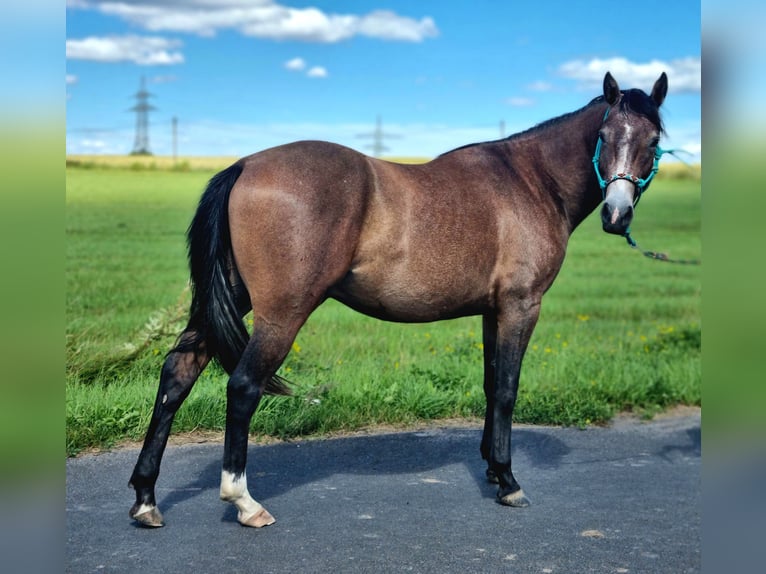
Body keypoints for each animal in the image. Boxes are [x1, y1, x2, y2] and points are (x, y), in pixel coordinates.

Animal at [129, 72, 668, 532]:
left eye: (653, 141)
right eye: (605, 134)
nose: (616, 216)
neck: (530, 181)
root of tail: (245, 165)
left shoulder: (492, 311)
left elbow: (491, 385)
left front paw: (493, 470)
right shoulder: (521, 306)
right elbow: (507, 390)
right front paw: (510, 482)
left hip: (226, 303)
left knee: (177, 372)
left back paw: (146, 497)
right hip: (282, 313)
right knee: (242, 386)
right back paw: (244, 501)